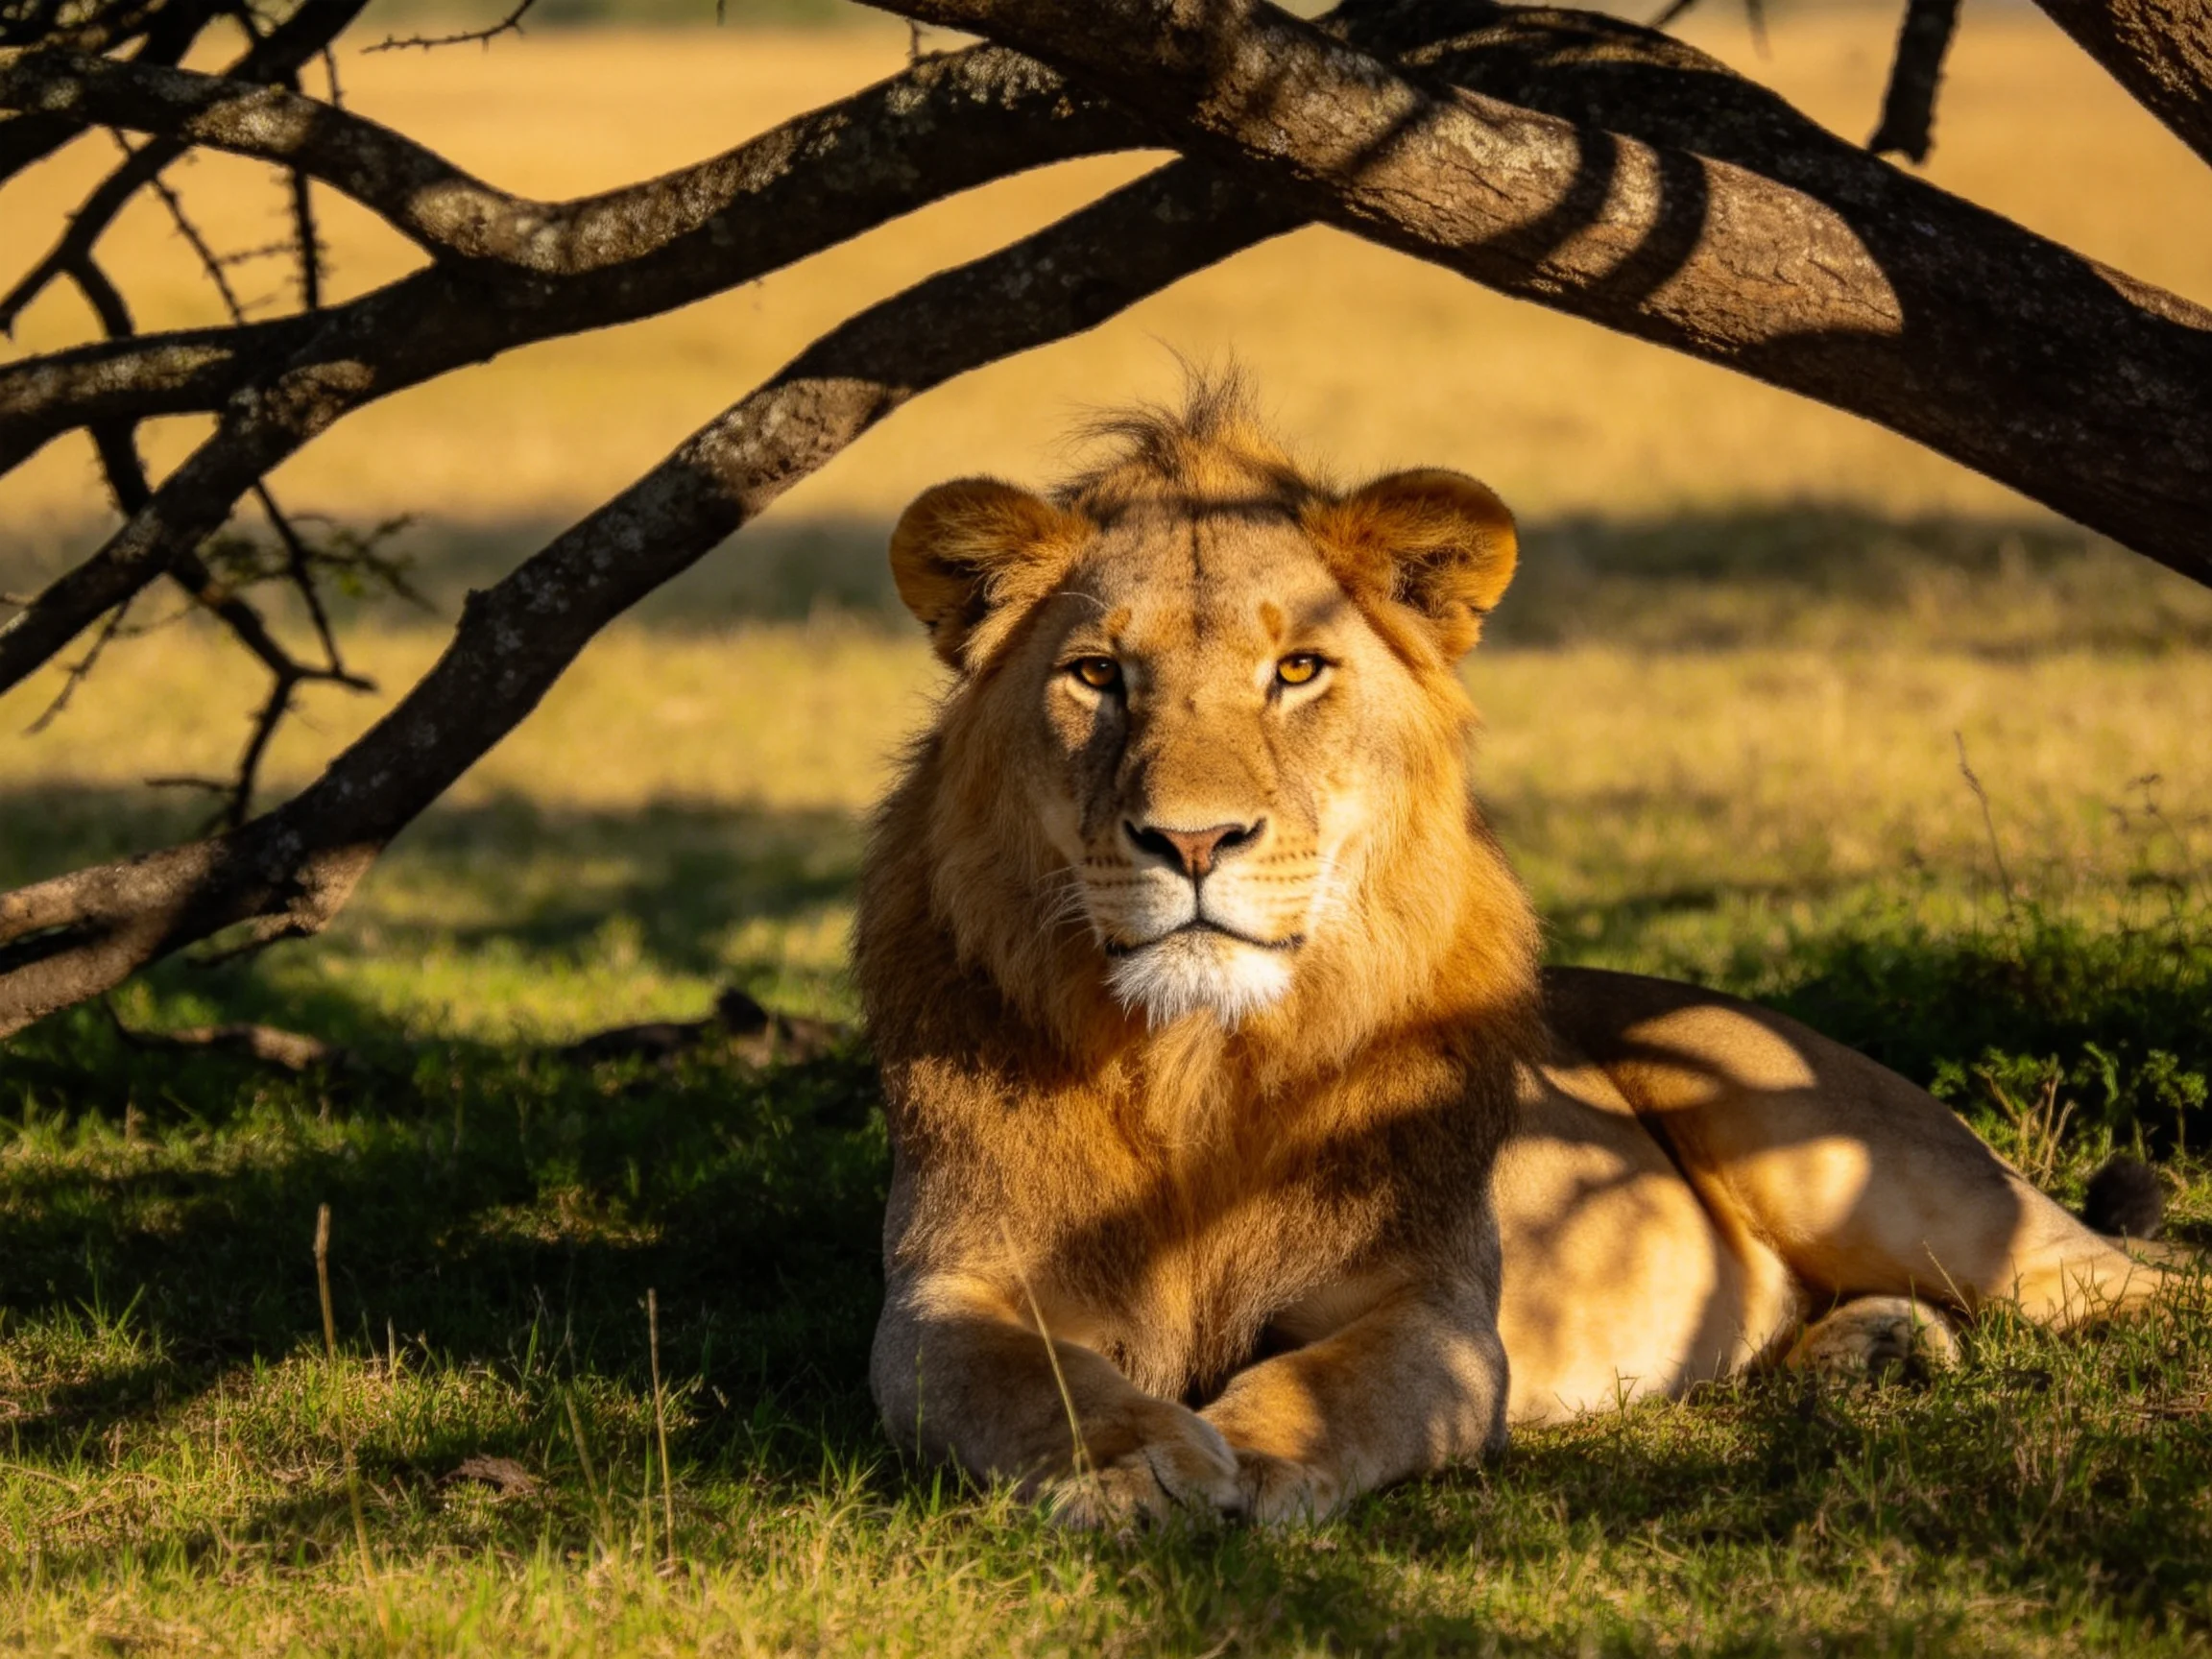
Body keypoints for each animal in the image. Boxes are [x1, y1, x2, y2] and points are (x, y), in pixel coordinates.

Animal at [853, 381, 2172, 1528]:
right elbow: (1026, 1382)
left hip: (1869, 1167)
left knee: (2133, 1283)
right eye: (1096, 675)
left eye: (1297, 670)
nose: (1192, 841)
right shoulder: (947, 1292)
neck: (1198, 1065)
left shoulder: (1438, 1309)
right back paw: (1868, 1350)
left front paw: (1255, 1458)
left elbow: (1333, 1381)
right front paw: (1136, 1465)